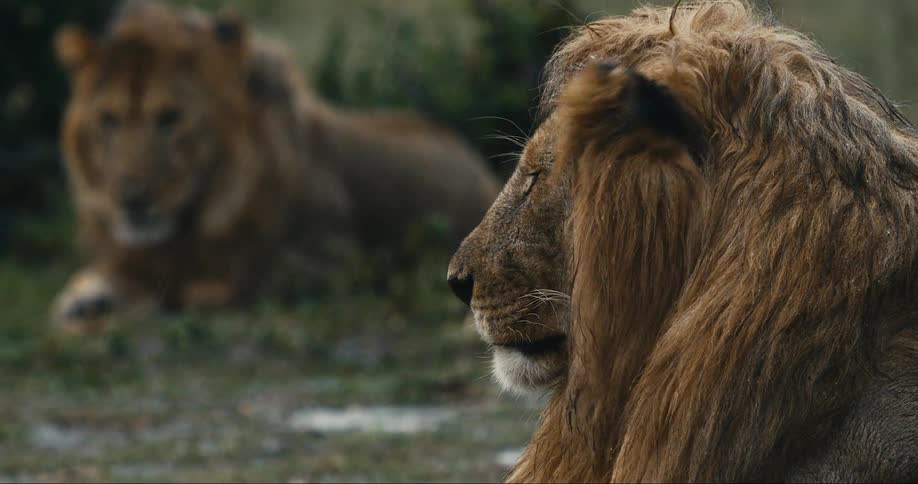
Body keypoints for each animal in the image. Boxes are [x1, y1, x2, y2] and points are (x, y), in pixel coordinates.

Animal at [52, 0, 500, 326]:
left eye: (169, 117)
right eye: (108, 119)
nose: (130, 199)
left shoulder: (335, 261)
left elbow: (220, 286)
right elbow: (89, 281)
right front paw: (86, 300)